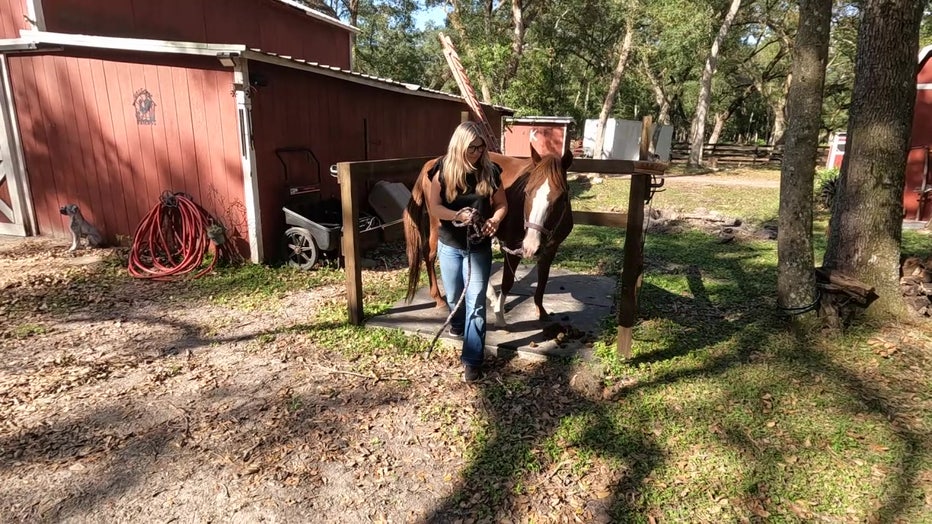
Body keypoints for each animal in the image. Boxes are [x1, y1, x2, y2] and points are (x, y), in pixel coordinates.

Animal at [404, 145, 572, 326]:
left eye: (562, 197)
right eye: (527, 192)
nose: (531, 246)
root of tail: (432, 162)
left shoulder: (550, 250)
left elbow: (542, 280)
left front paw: (540, 311)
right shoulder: (512, 248)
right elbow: (507, 282)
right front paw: (500, 317)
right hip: (437, 225)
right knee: (429, 255)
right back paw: (439, 299)